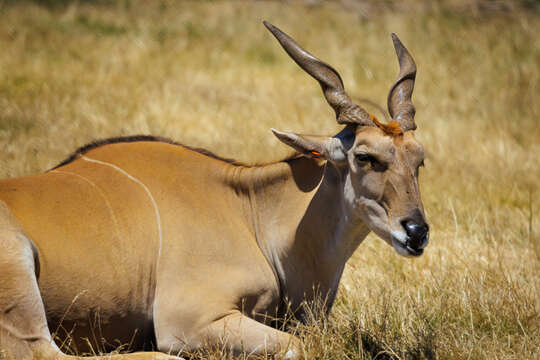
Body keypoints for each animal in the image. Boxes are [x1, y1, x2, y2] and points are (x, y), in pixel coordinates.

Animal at [1, 23, 430, 360]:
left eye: (419, 159)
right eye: (365, 156)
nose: (417, 232)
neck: (250, 212)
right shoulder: (191, 319)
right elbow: (298, 345)